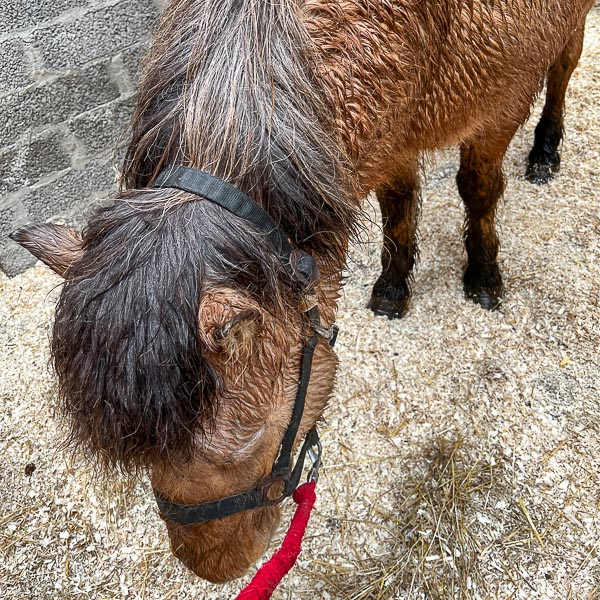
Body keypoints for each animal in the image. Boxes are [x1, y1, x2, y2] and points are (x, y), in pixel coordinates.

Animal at [11, 0, 592, 584]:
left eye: (240, 444)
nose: (213, 568)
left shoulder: (500, 106)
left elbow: (477, 188)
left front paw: (483, 275)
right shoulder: (390, 137)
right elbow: (398, 205)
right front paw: (392, 287)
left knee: (564, 69)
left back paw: (545, 152)